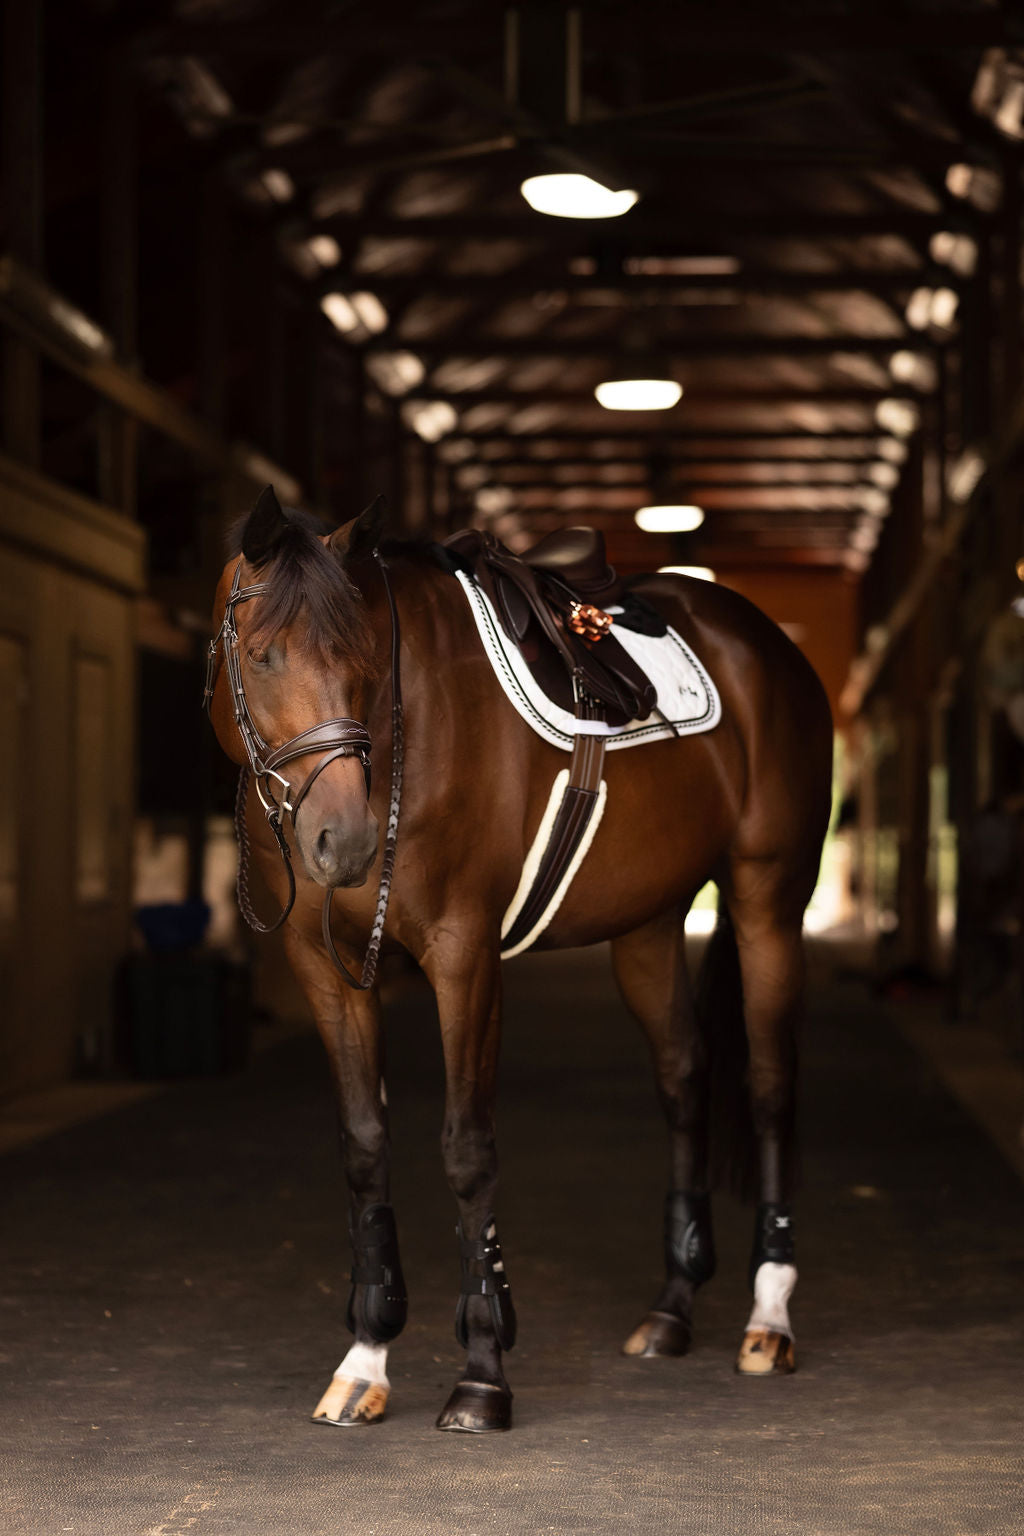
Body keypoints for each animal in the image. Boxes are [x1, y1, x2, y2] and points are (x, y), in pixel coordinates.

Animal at [206, 485, 833, 1433]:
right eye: (261, 655)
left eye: (365, 657)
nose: (343, 842)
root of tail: (764, 641)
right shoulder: (325, 969)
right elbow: (363, 1145)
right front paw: (365, 1357)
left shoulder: (466, 957)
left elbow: (468, 1150)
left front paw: (482, 1374)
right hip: (649, 925)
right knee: (685, 1076)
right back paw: (672, 1309)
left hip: (768, 900)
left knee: (767, 1087)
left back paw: (769, 1319)